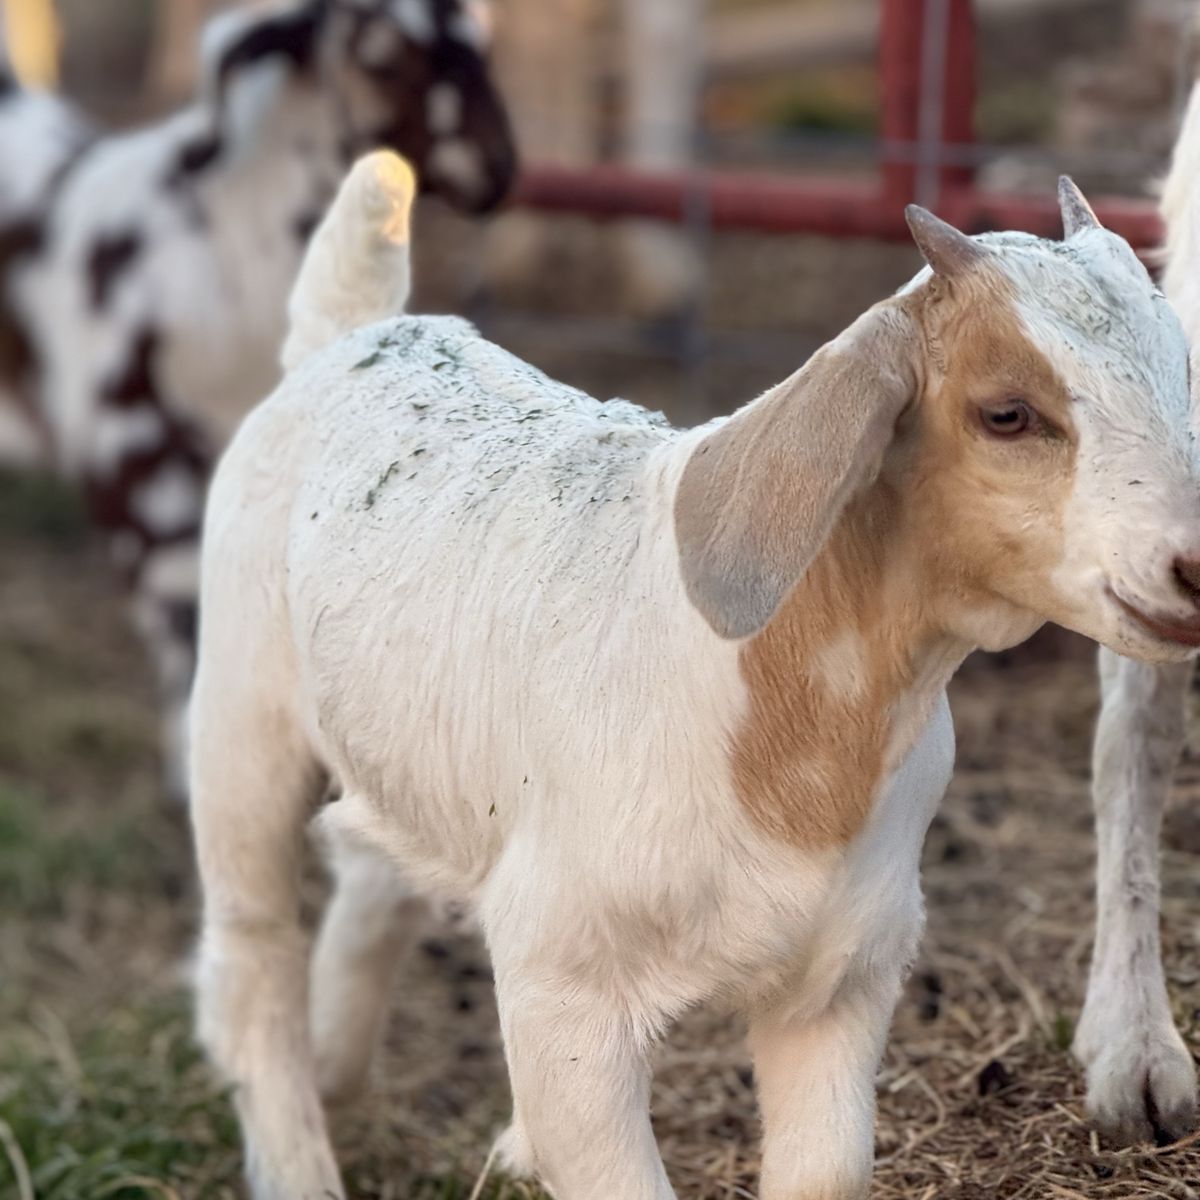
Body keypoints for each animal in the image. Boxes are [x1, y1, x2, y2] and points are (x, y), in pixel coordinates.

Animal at [191, 152, 1200, 1200]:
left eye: (1183, 375)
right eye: (1007, 414)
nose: (1194, 567)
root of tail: (360, 335)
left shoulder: (842, 979)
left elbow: (826, 1173)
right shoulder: (568, 990)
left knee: (377, 864)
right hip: (240, 723)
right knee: (251, 952)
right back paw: (298, 1158)